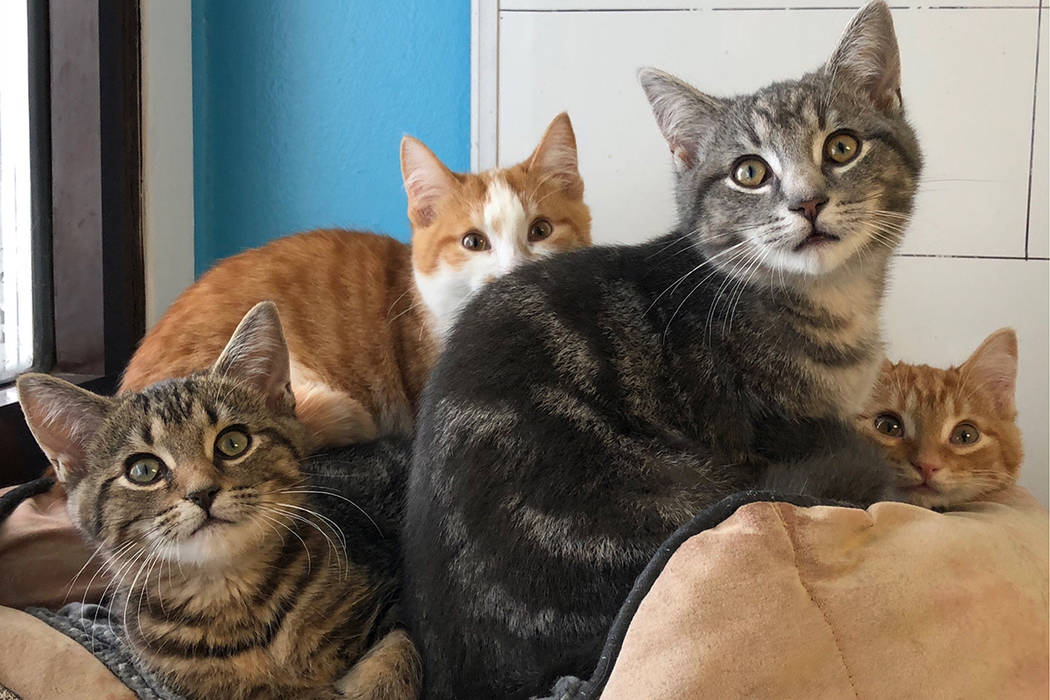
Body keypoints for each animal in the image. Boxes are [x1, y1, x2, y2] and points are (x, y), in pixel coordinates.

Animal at [16, 302, 417, 700]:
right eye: (143, 470)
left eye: (233, 443)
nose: (202, 492)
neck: (232, 598)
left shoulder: (392, 589)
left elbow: (400, 645)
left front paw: (378, 686)